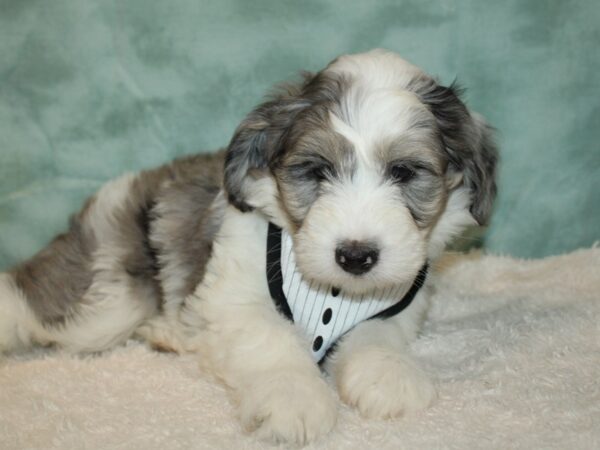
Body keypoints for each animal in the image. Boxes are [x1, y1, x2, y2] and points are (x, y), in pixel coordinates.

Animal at [1, 50, 496, 446]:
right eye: (316, 171)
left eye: (404, 172)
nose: (355, 256)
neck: (334, 295)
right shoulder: (234, 296)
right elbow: (271, 341)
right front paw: (296, 399)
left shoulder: (398, 301)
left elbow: (377, 334)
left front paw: (388, 375)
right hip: (103, 301)